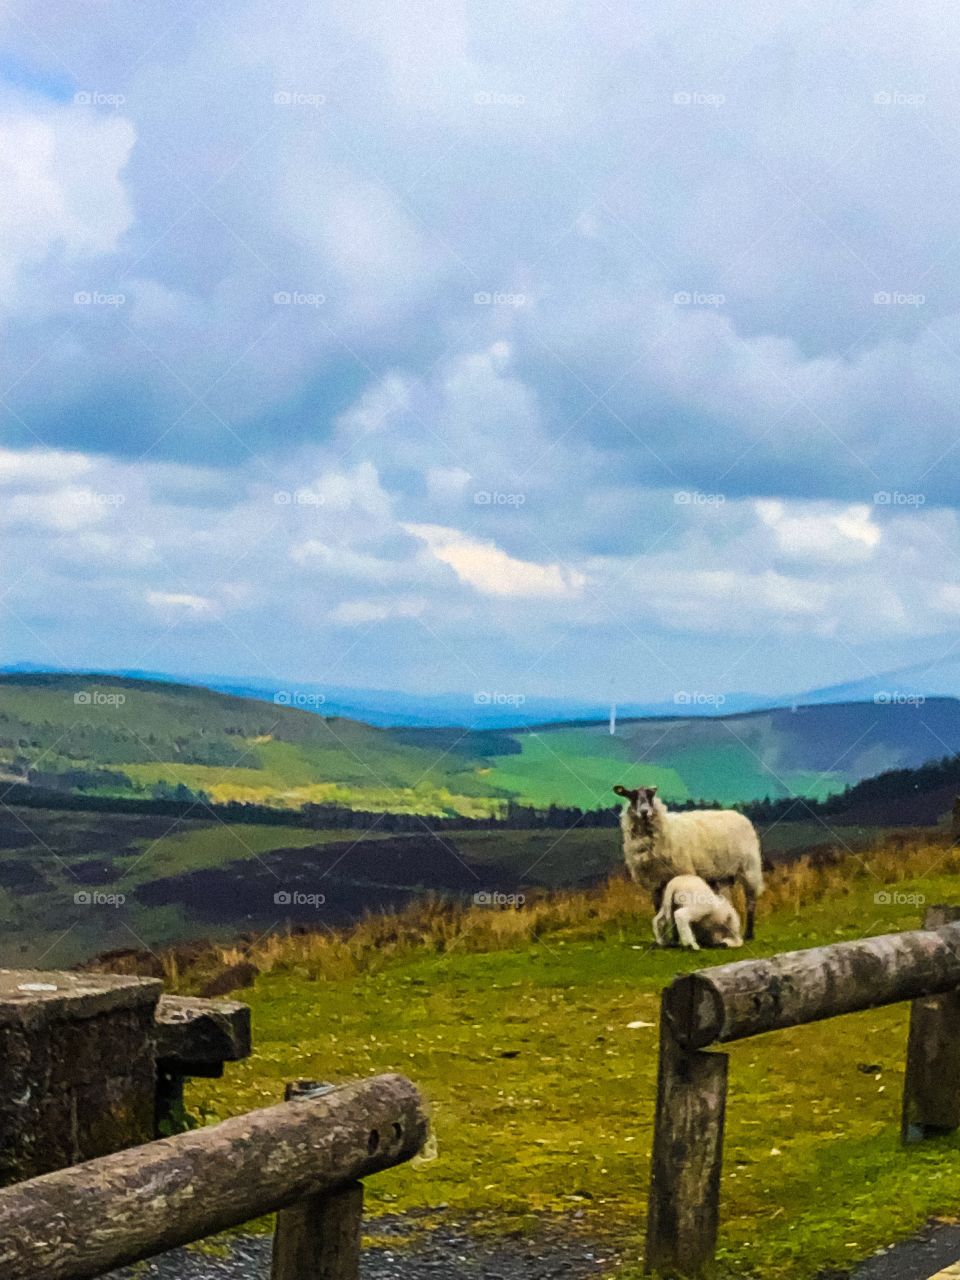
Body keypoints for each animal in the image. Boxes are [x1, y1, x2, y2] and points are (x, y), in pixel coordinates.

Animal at [616, 778, 768, 942]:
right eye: (631, 795)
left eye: (651, 795)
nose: (644, 812)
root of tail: (738, 814)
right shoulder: (655, 882)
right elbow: (659, 909)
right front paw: (666, 939)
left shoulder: (680, 873)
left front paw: (676, 938)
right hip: (722, 875)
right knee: (727, 899)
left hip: (749, 868)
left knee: (751, 900)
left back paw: (749, 934)